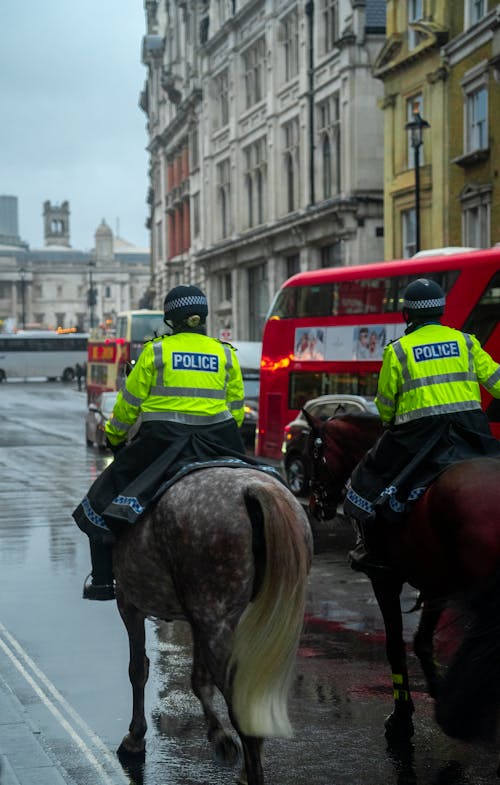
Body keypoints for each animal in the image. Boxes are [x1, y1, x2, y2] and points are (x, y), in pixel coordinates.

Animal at [112, 466, 312, 784]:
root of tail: (252, 489)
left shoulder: (129, 602)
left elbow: (138, 668)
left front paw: (135, 738)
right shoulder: (197, 620)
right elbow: (198, 679)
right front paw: (219, 736)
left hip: (214, 617)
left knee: (240, 704)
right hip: (228, 620)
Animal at [302, 410, 500, 748]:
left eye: (314, 455)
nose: (316, 506)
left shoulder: (385, 578)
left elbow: (395, 645)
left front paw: (401, 718)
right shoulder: (436, 584)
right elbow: (422, 641)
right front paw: (436, 690)